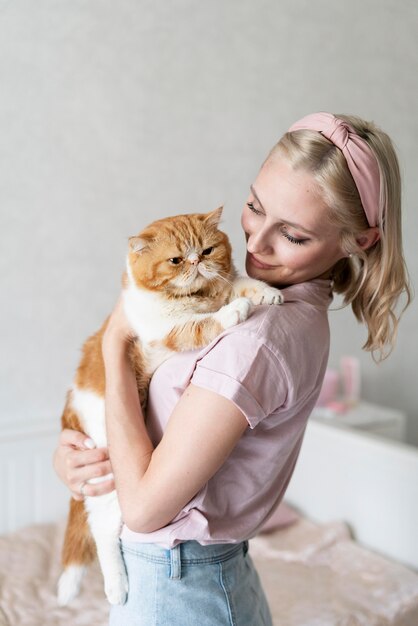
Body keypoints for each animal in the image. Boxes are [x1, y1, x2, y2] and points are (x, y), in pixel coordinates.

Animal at [57, 207, 282, 608]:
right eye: (177, 260)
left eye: (207, 251)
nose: (196, 262)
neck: (197, 295)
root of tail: (71, 403)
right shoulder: (167, 331)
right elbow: (204, 323)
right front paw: (234, 312)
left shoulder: (225, 283)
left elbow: (243, 283)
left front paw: (269, 293)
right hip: (112, 480)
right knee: (102, 530)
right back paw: (116, 587)